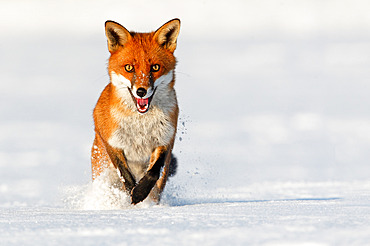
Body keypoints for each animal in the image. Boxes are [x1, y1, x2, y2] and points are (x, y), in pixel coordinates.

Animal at [91, 18, 181, 204]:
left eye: (155, 67)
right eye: (129, 68)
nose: (141, 91)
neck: (141, 123)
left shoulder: (165, 139)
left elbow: (153, 172)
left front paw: (140, 192)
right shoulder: (112, 142)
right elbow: (125, 175)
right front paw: (132, 193)